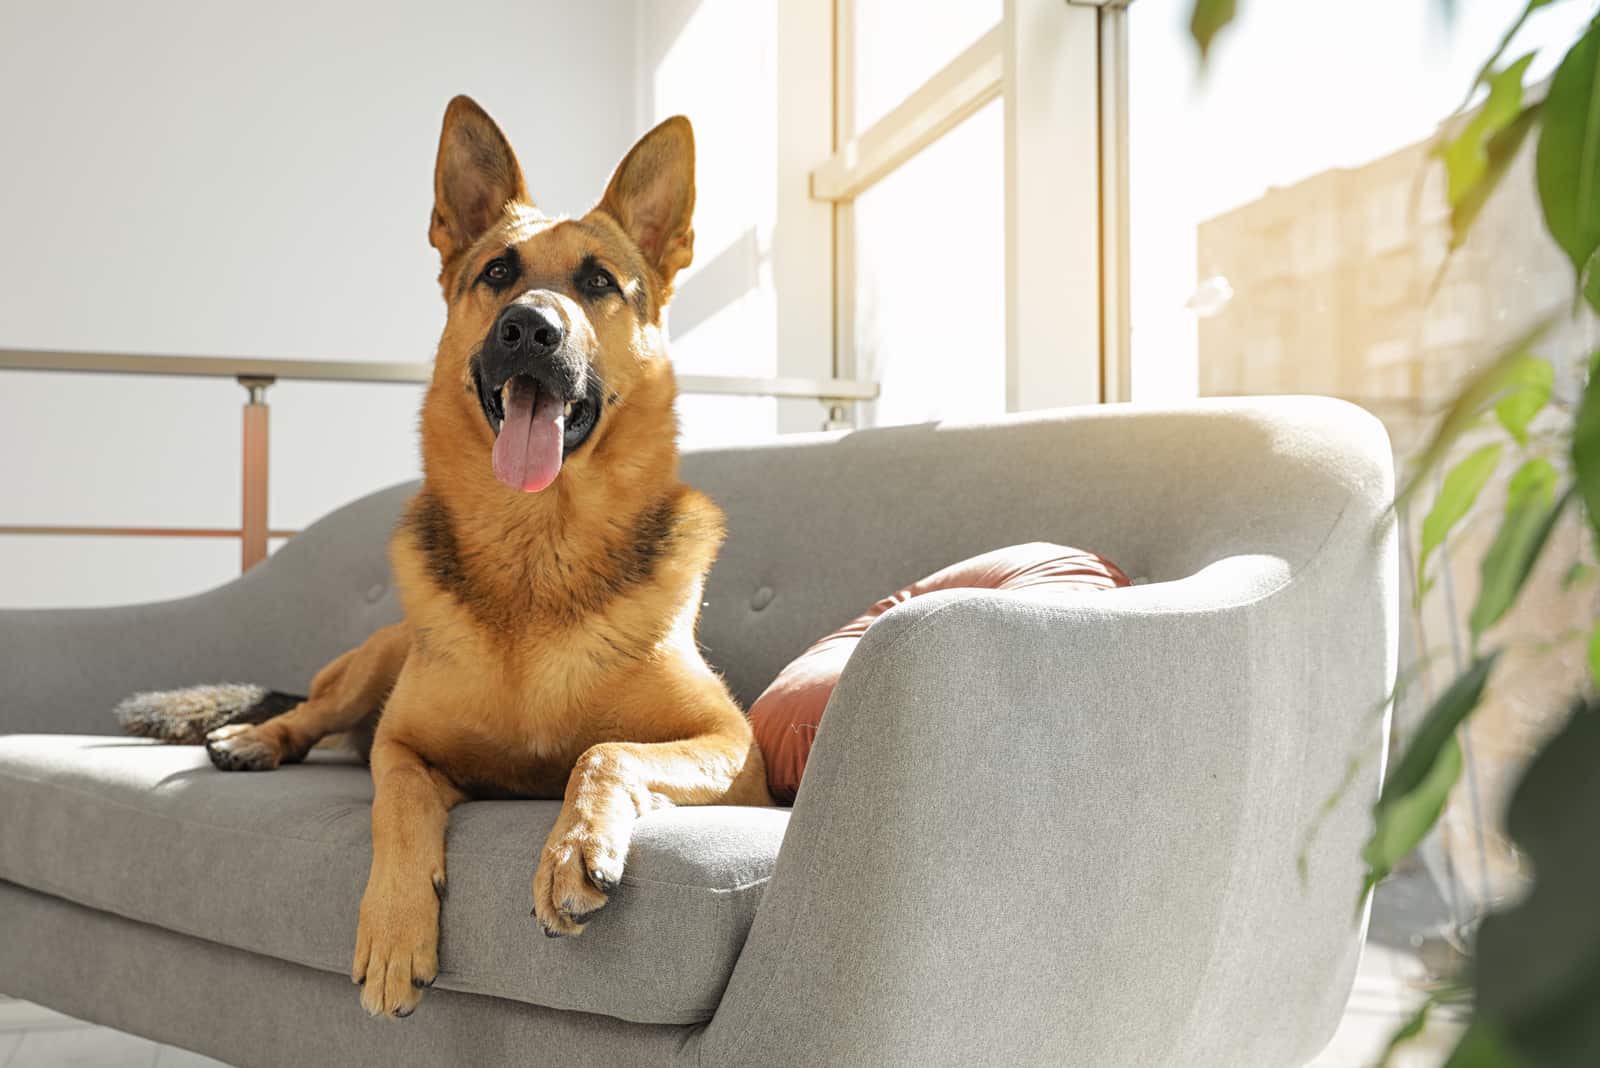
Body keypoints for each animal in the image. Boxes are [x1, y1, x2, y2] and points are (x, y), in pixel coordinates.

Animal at [118, 97, 774, 1016]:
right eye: (498, 271)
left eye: (598, 281)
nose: (528, 328)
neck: (536, 551)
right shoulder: (404, 748)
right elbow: (396, 807)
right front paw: (396, 930)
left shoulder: (735, 752)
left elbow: (605, 750)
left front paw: (573, 846)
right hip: (373, 660)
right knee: (310, 712)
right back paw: (255, 738)